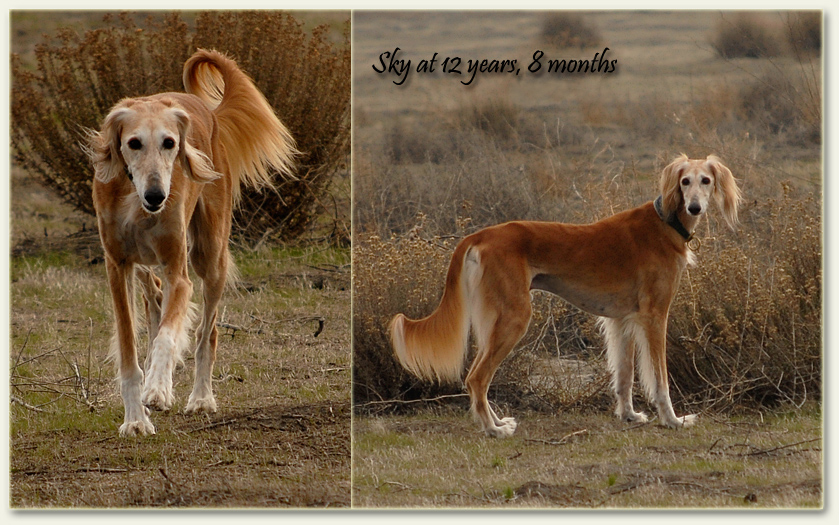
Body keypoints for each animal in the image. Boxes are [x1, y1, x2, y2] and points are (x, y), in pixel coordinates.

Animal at [88, 49, 298, 436]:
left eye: (169, 143)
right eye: (133, 143)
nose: (157, 196)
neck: (134, 198)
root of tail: (208, 110)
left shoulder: (178, 271)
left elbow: (169, 336)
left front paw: (158, 388)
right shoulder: (117, 267)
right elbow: (129, 350)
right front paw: (135, 418)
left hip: (209, 256)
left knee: (206, 333)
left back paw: (201, 397)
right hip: (143, 264)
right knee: (154, 295)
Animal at [392, 154, 740, 436]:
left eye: (706, 180)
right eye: (685, 181)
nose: (695, 206)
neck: (665, 222)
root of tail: (481, 235)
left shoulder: (622, 320)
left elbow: (624, 375)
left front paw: (628, 415)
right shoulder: (655, 315)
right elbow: (660, 379)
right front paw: (672, 420)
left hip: (494, 322)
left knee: (476, 375)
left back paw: (497, 421)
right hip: (515, 318)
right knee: (476, 378)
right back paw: (492, 429)